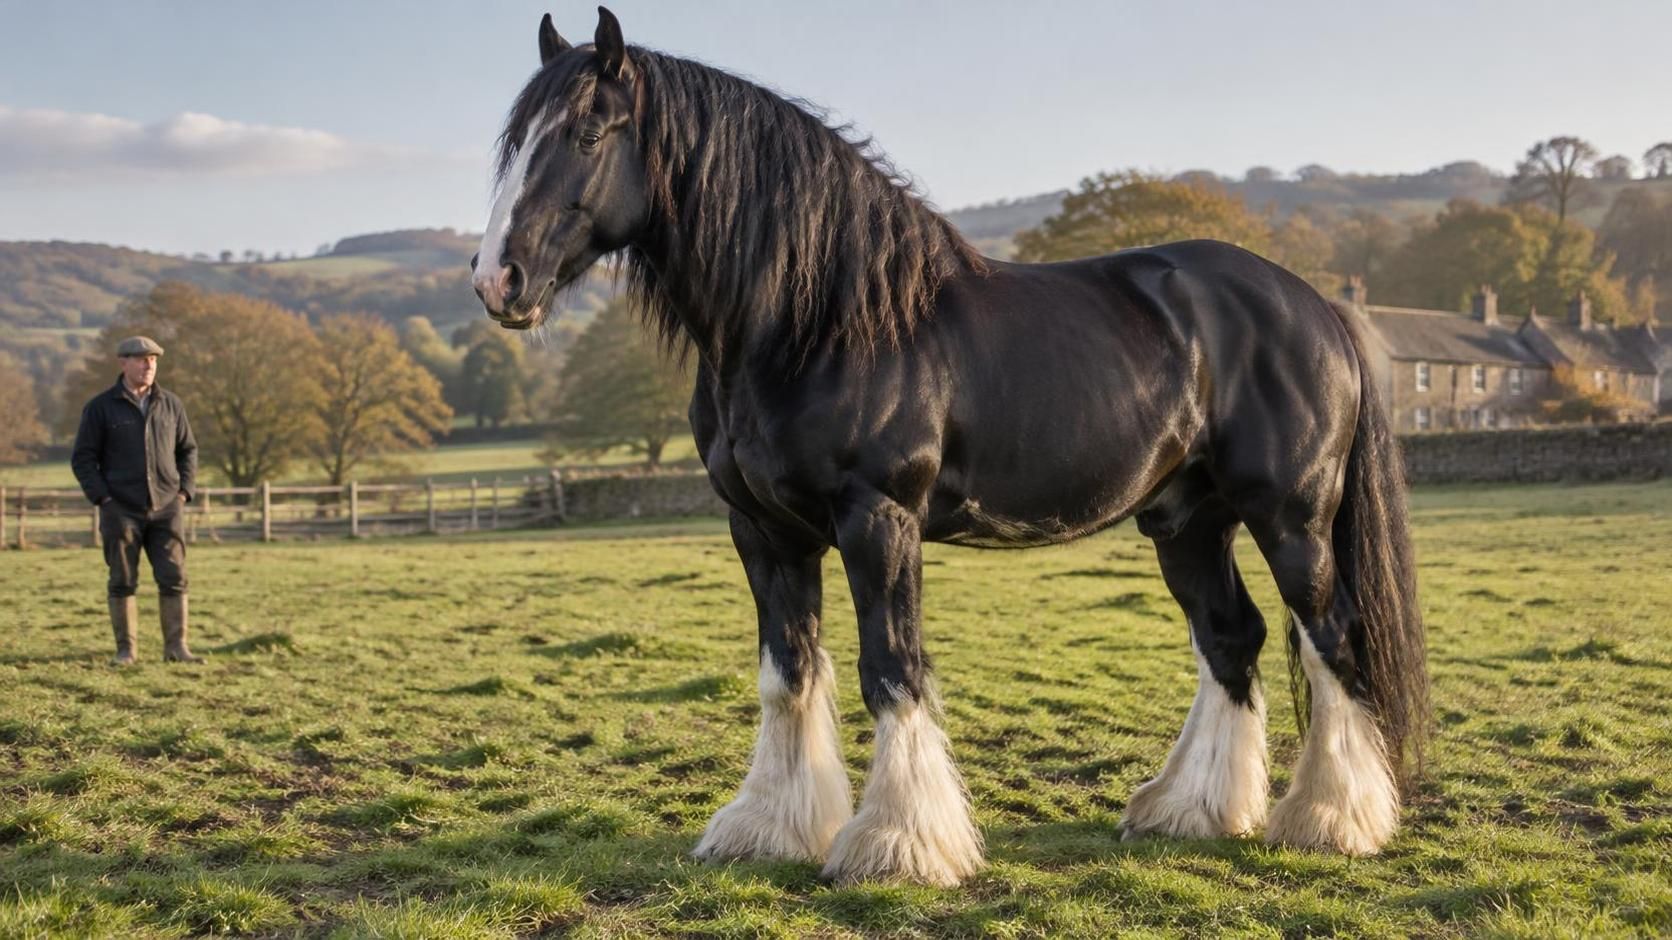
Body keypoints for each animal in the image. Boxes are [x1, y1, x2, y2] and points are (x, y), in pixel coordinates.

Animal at [471, 8, 1429, 887]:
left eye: (587, 132)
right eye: (513, 142)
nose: (497, 280)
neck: (816, 320)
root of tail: (1315, 306)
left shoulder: (878, 520)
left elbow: (891, 671)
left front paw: (897, 845)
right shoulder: (764, 532)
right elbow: (788, 673)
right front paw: (772, 829)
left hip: (1292, 519)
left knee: (1330, 637)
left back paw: (1331, 821)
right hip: (1186, 521)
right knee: (1233, 638)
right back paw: (1192, 811)